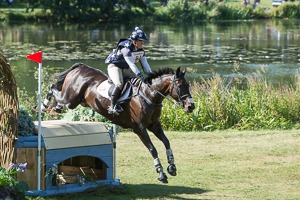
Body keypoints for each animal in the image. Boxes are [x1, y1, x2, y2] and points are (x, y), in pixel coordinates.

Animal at [42, 62, 197, 183]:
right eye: (179, 85)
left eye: (188, 85)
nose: (191, 106)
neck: (149, 95)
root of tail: (80, 67)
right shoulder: (139, 128)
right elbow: (153, 149)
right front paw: (161, 173)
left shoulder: (154, 125)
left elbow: (166, 142)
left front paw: (172, 167)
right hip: (70, 100)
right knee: (53, 89)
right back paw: (44, 105)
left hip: (77, 101)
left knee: (58, 98)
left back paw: (52, 107)